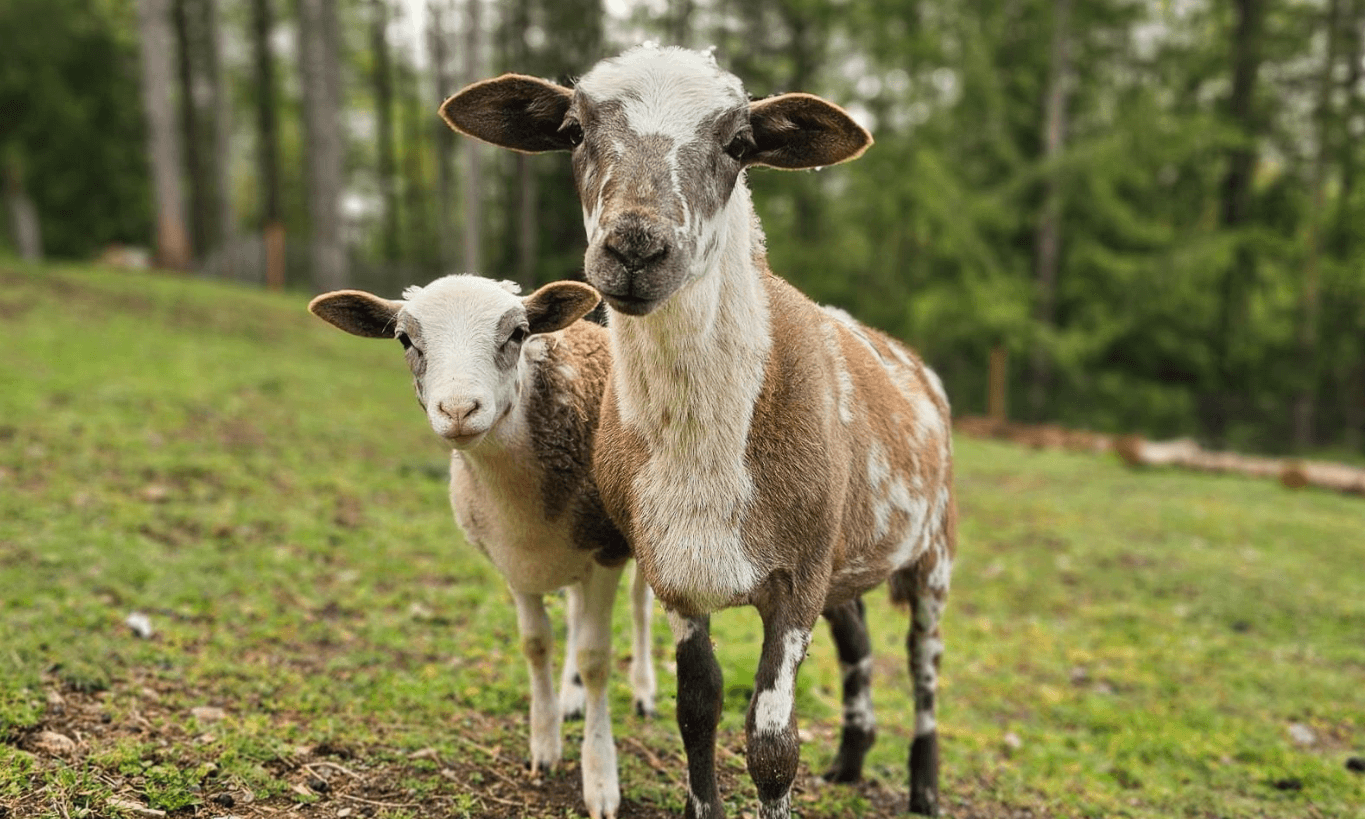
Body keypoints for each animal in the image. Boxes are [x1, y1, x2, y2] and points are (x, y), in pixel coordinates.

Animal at [308, 275, 657, 819]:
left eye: (518, 333)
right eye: (405, 340)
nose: (457, 410)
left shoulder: (606, 551)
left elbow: (596, 658)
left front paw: (600, 778)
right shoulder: (514, 560)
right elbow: (537, 645)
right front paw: (545, 744)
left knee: (641, 607)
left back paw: (643, 692)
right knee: (576, 612)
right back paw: (570, 698)